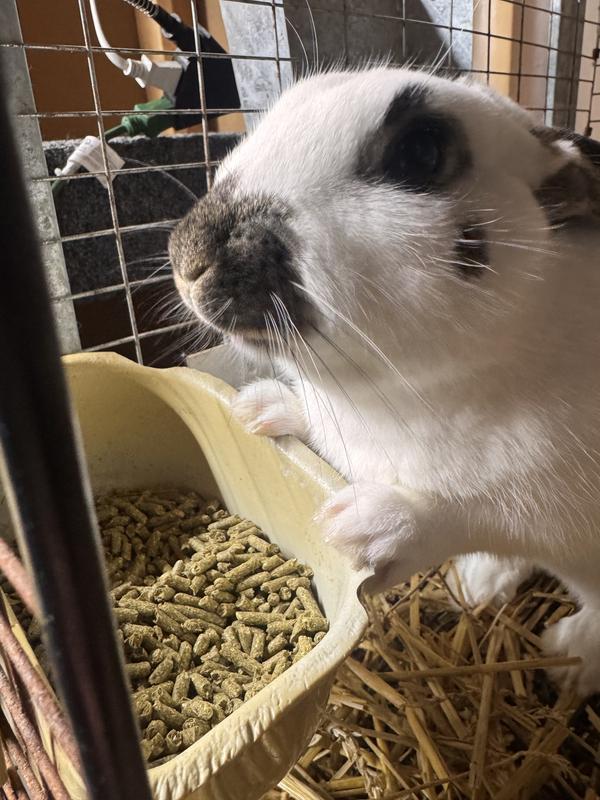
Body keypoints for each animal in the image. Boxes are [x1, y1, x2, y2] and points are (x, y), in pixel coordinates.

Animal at [169, 66, 600, 696]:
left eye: (420, 151)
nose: (189, 261)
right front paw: (263, 407)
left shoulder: (542, 504)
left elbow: (467, 513)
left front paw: (361, 528)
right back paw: (476, 586)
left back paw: (569, 657)